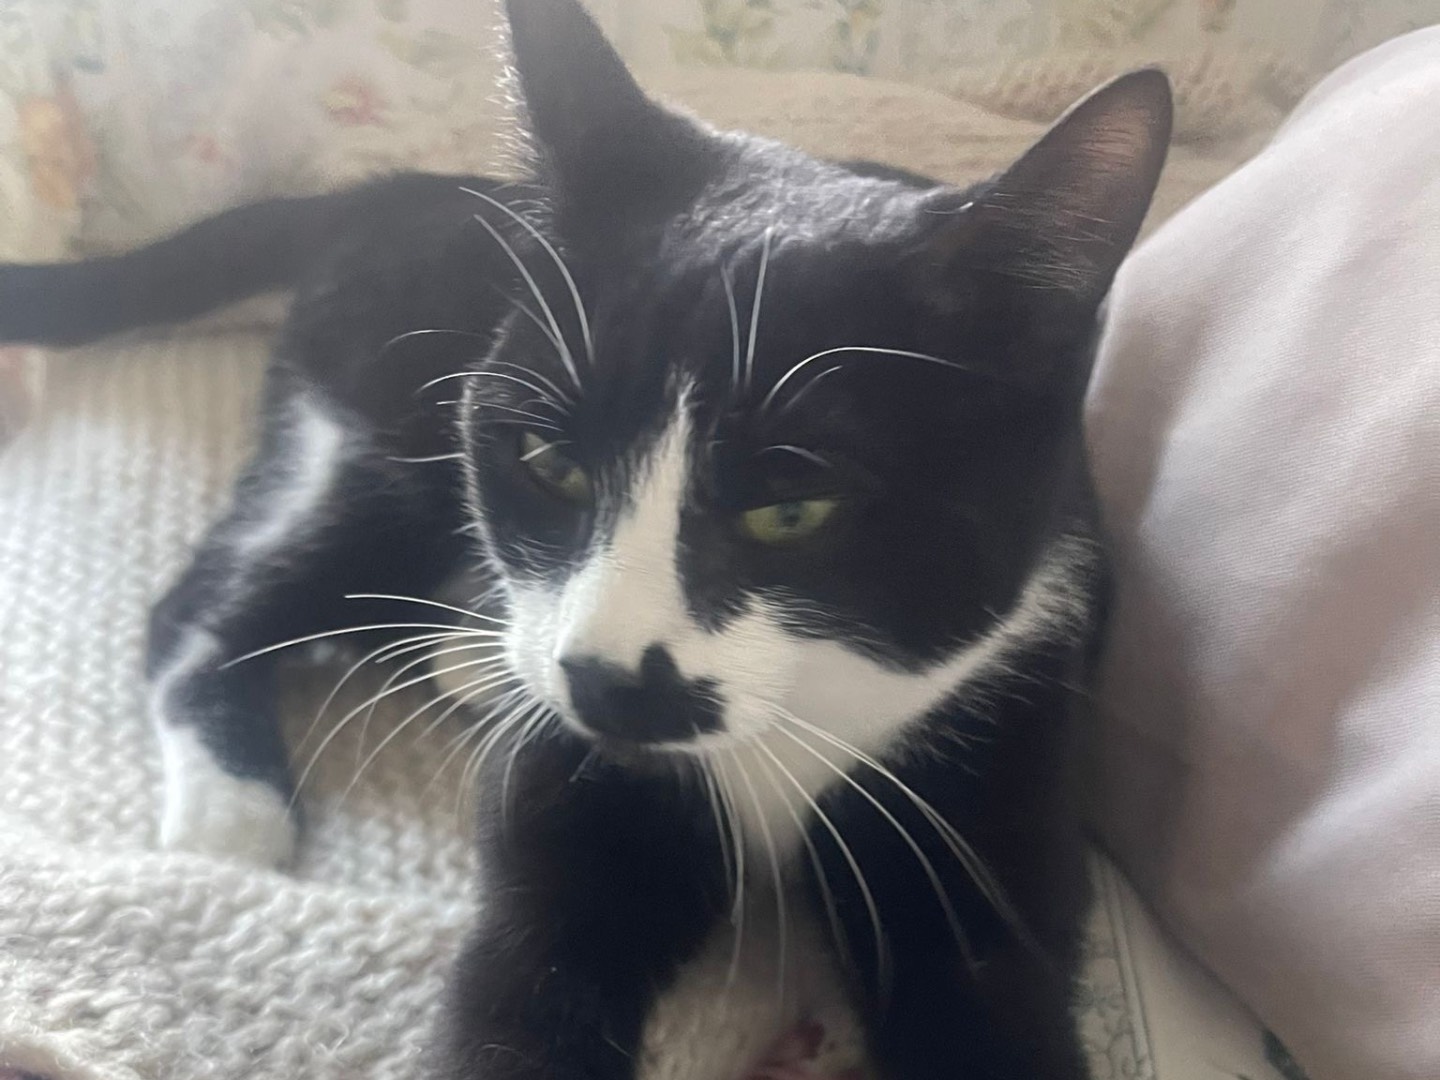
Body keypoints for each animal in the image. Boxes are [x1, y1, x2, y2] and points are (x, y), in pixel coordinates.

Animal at [0, 0, 1171, 1076]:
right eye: (548, 462)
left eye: (791, 510)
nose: (603, 675)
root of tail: (407, 191)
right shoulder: (568, 800)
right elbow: (525, 974)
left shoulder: (997, 740)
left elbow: (991, 1002)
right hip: (369, 437)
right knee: (214, 604)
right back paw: (232, 815)